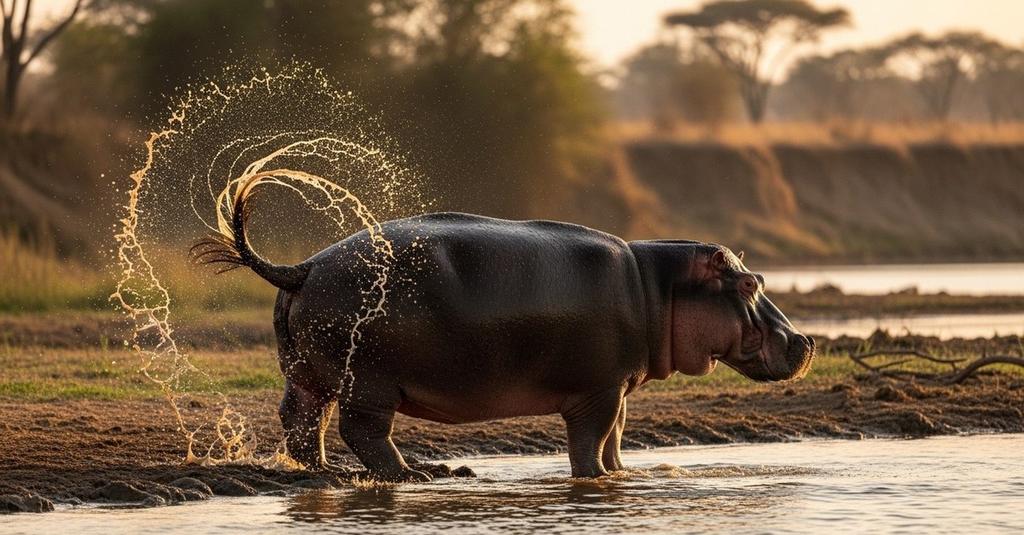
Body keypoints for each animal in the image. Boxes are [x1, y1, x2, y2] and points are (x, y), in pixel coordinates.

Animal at [193, 193, 816, 482]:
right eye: (750, 282)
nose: (807, 342)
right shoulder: (597, 391)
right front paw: (593, 481)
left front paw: (620, 477)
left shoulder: (616, 388)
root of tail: (302, 267)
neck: (657, 287)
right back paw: (421, 474)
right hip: (368, 380)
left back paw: (329, 474)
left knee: (302, 423)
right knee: (363, 431)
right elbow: (592, 439)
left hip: (310, 373)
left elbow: (615, 437)